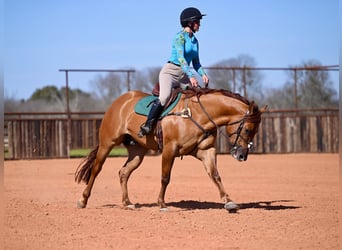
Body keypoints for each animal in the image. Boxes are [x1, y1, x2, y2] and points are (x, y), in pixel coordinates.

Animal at [75, 87, 264, 212]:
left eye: (255, 131)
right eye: (248, 129)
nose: (242, 155)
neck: (196, 114)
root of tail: (120, 101)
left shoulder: (206, 150)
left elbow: (215, 175)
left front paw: (228, 201)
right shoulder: (169, 150)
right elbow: (165, 177)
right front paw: (161, 203)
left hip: (137, 152)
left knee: (124, 172)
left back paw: (127, 202)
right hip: (107, 144)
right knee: (96, 169)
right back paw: (83, 200)